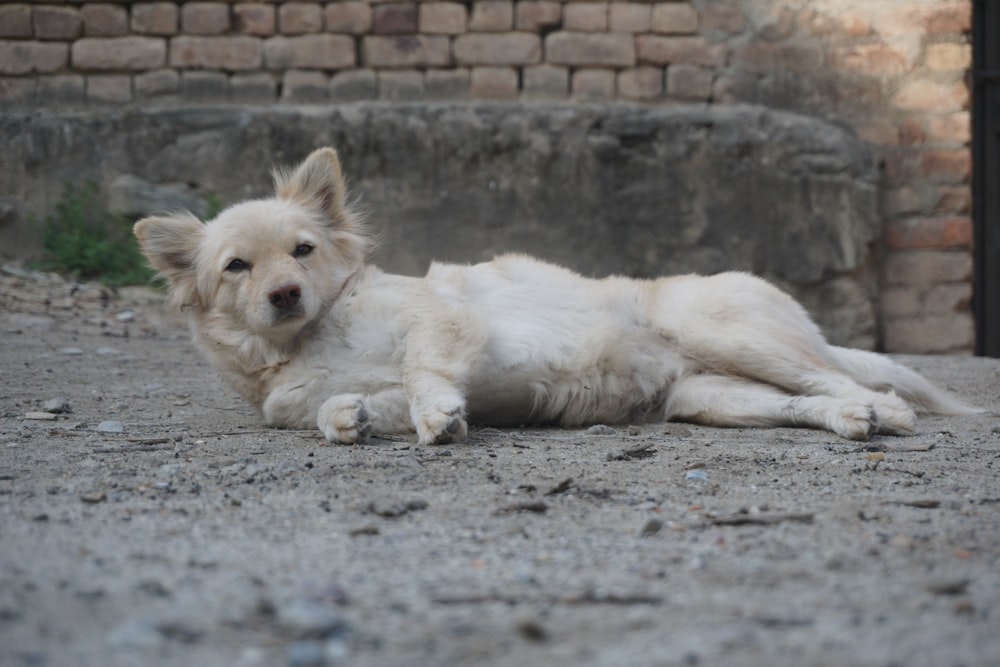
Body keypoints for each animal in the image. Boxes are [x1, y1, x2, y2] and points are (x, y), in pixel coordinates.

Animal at [131, 149, 976, 446]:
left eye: (303, 251)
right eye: (237, 266)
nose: (283, 294)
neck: (312, 336)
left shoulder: (445, 320)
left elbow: (420, 369)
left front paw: (432, 414)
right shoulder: (315, 393)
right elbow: (339, 408)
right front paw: (356, 416)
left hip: (731, 336)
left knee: (853, 381)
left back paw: (882, 412)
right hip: (713, 395)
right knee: (812, 401)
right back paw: (853, 421)